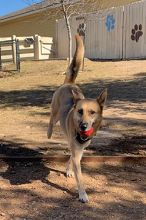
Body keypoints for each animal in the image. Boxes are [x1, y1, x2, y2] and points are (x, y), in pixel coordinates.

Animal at [47, 33, 106, 204]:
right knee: (51, 120)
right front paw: (83, 194)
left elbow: (72, 159)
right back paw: (49, 133)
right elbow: (80, 178)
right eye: (80, 111)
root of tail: (70, 83)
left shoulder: (79, 150)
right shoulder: (76, 150)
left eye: (92, 112)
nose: (83, 126)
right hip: (55, 112)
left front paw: (69, 170)